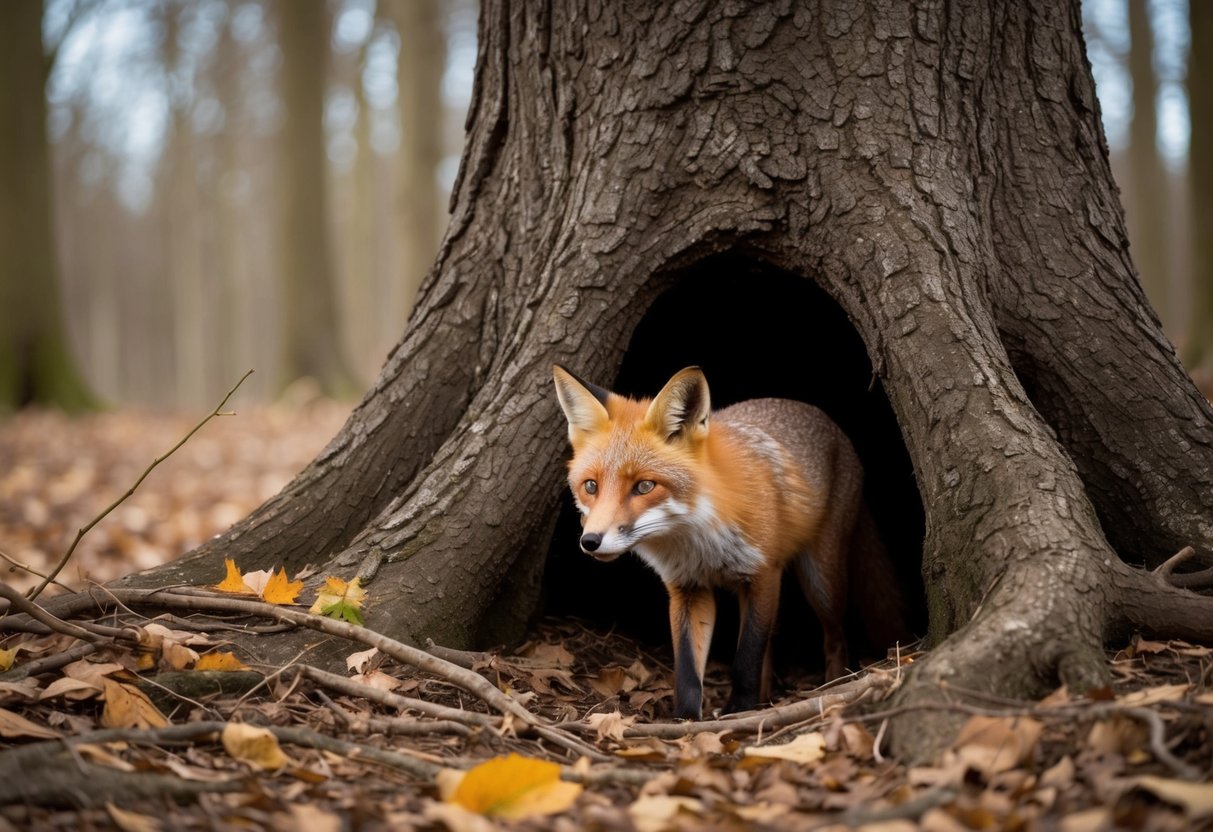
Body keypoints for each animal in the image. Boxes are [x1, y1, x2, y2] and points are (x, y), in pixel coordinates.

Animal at [553, 364, 905, 719]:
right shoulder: (688, 588)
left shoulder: (764, 573)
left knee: (834, 637)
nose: (591, 541)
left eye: (644, 486)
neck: (696, 540)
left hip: (821, 582)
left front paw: (740, 707)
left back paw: (830, 685)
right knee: (772, 645)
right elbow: (688, 668)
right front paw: (686, 717)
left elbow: (746, 656)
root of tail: (831, 424)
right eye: (591, 486)